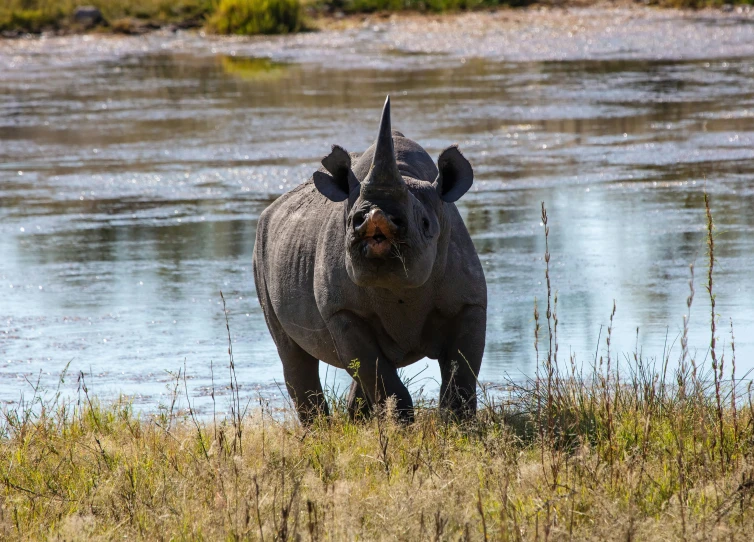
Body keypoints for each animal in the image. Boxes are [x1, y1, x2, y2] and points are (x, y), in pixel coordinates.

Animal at [253, 98, 488, 424]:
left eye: (426, 224)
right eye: (352, 219)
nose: (375, 217)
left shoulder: (469, 302)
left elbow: (461, 373)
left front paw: (457, 427)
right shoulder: (341, 311)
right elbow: (377, 374)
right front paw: (402, 427)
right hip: (260, 250)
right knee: (295, 356)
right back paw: (320, 430)